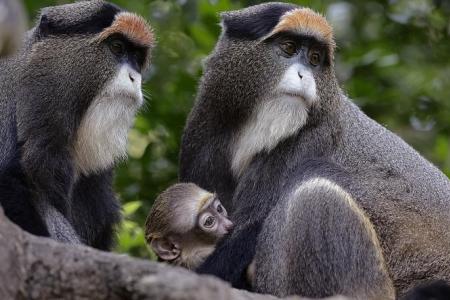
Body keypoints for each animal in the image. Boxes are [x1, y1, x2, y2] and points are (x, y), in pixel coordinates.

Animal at [180, 1, 450, 298]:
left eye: (314, 58)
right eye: (288, 47)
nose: (304, 74)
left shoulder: (314, 137)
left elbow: (247, 229)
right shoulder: (206, 123)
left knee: (313, 193)